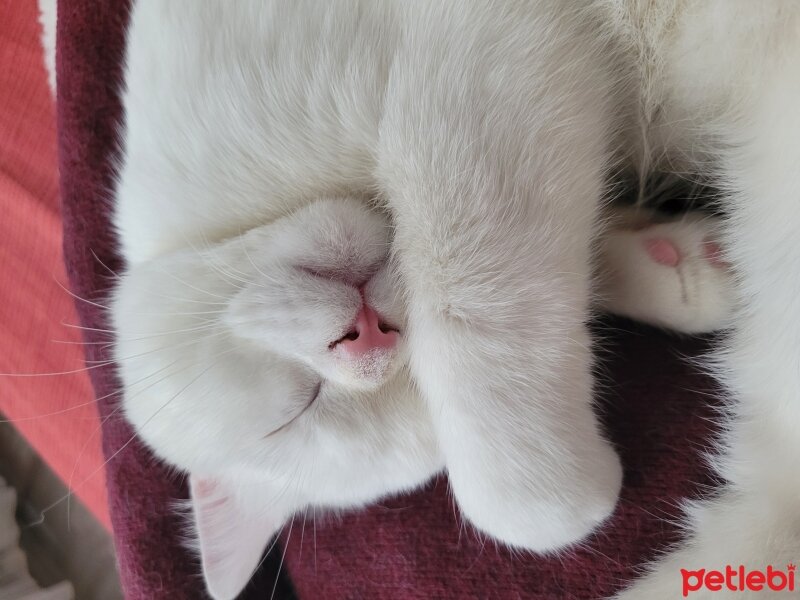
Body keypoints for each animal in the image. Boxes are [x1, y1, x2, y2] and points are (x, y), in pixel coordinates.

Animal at [103, 1, 784, 600]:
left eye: (293, 412)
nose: (369, 337)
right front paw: (685, 268)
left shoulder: (464, 77)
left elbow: (466, 317)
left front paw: (560, 501)